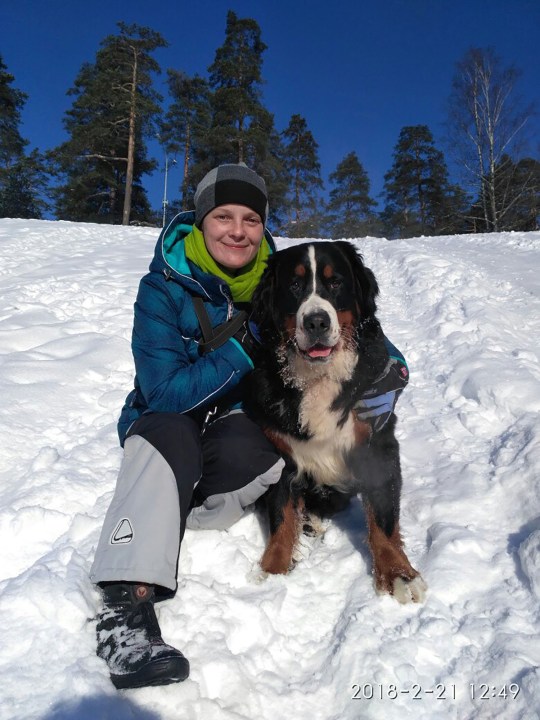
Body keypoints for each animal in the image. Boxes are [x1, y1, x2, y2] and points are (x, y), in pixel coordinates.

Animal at [245, 240, 426, 600]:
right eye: (294, 285)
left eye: (336, 282)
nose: (316, 322)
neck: (318, 377)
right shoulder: (279, 452)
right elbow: (280, 514)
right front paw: (273, 570)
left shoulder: (377, 442)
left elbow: (383, 516)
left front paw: (398, 573)